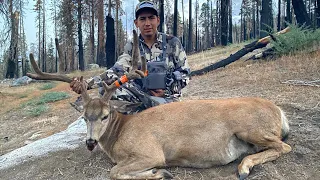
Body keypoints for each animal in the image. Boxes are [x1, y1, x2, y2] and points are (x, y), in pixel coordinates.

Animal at [26, 29, 292, 179]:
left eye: (105, 115)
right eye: (84, 117)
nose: (90, 142)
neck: (120, 134)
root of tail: (279, 111)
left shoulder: (151, 152)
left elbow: (115, 171)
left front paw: (160, 172)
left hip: (251, 127)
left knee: (284, 146)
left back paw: (244, 168)